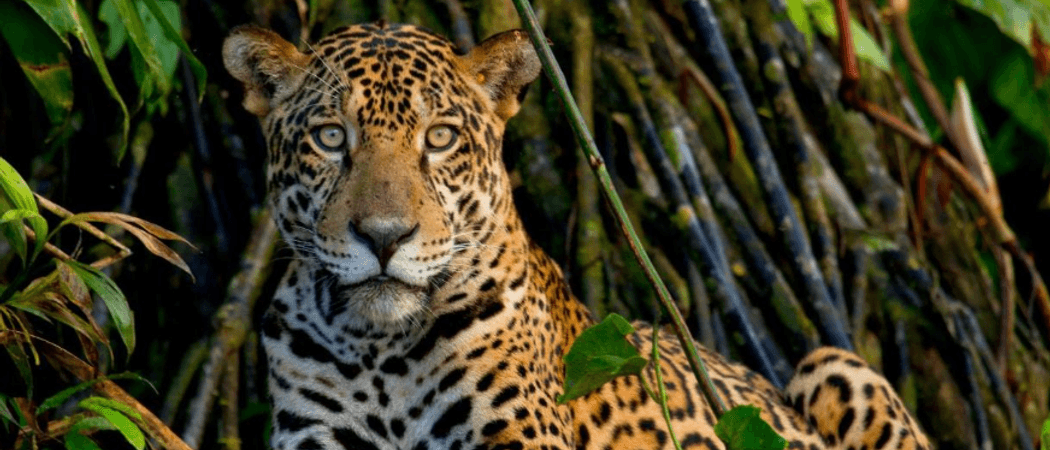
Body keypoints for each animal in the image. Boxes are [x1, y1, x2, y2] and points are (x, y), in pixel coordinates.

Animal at [222, 21, 931, 450]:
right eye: (330, 138)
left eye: (440, 138)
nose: (384, 236)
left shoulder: (520, 436)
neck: (376, 350)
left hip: (835, 365)